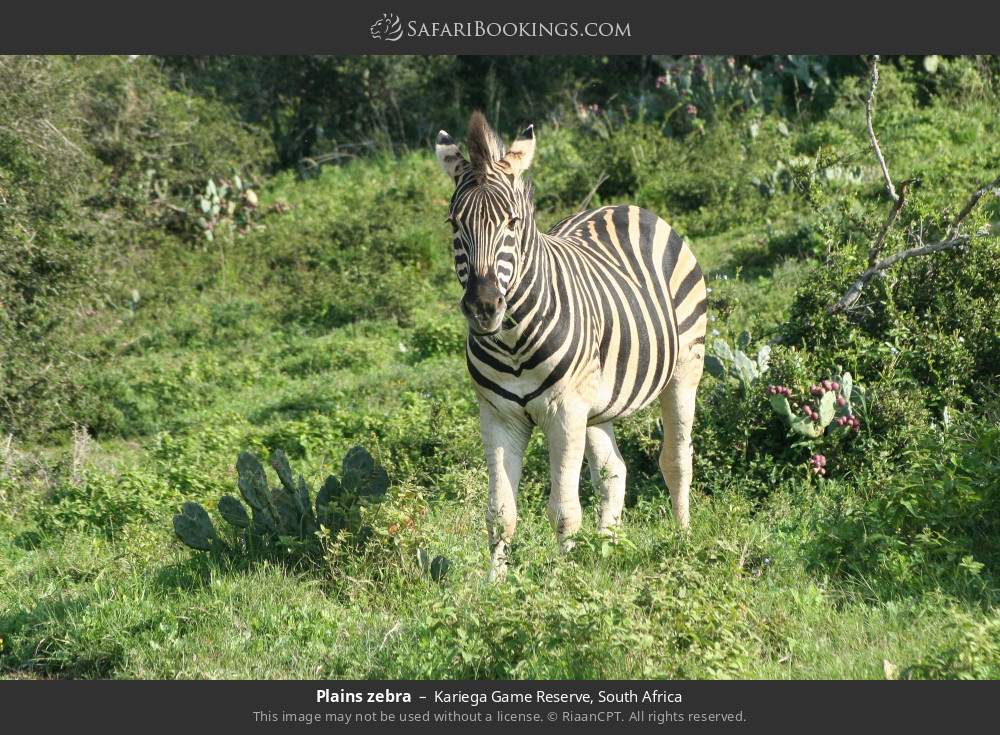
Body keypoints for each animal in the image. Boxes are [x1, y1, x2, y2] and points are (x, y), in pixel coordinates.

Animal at [435, 112, 707, 580]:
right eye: (455, 224)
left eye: (512, 223)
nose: (484, 307)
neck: (512, 343)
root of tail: (625, 206)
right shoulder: (498, 416)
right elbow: (500, 512)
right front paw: (495, 584)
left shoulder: (564, 412)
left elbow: (563, 510)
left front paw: (566, 579)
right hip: (598, 404)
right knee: (614, 472)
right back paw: (608, 548)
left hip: (684, 368)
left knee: (676, 460)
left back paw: (682, 539)